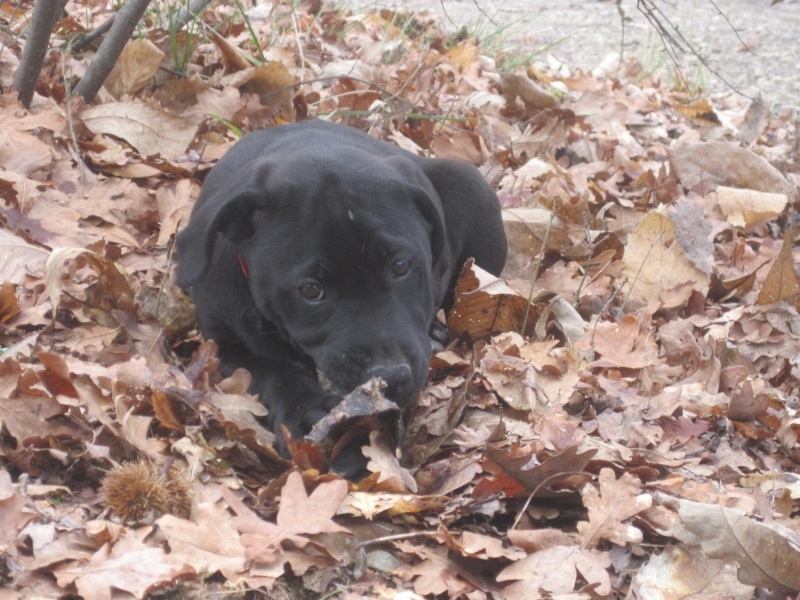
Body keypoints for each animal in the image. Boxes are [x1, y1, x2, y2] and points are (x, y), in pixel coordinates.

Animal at [179, 120, 510, 468]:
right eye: (311, 290)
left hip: (472, 186)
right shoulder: (223, 343)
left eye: (401, 265)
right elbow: (268, 371)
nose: (391, 377)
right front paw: (306, 411)